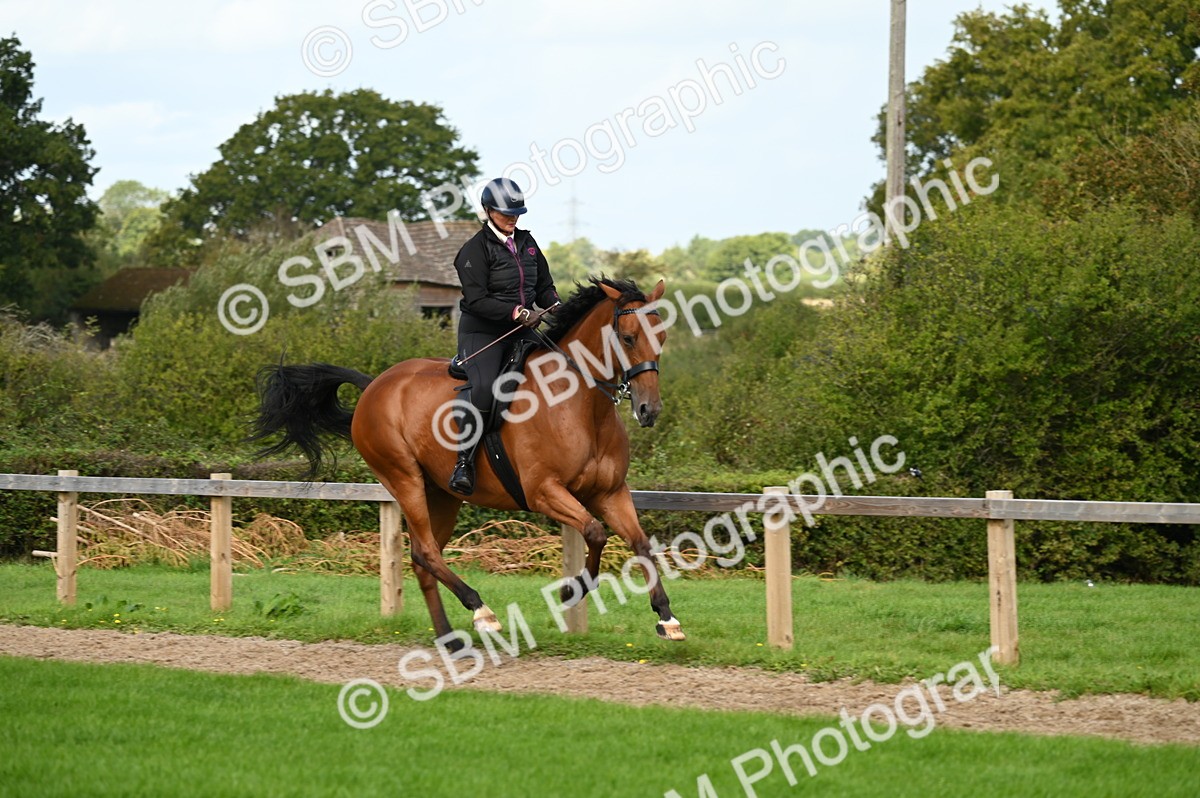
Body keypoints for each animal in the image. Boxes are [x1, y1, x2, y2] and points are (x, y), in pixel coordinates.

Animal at [250, 276, 685, 644]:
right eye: (628, 338)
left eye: (661, 336)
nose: (649, 410)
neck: (580, 406)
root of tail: (374, 385)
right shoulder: (544, 492)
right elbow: (595, 533)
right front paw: (570, 589)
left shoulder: (610, 492)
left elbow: (640, 543)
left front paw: (666, 617)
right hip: (404, 479)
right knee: (426, 552)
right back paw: (481, 612)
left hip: (442, 494)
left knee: (423, 557)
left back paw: (448, 638)